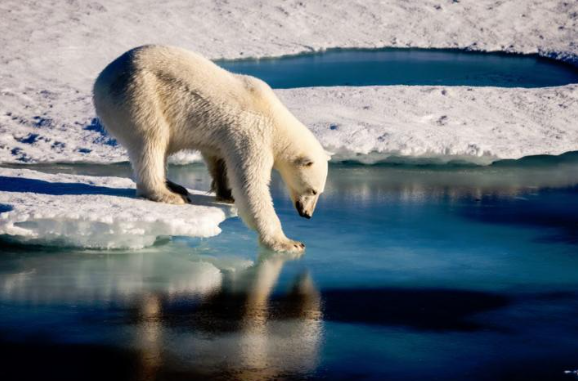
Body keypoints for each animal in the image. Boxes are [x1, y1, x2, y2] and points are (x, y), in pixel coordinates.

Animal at [94, 45, 328, 252]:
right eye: (313, 190)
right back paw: (168, 194)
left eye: (319, 192)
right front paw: (289, 242)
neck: (275, 119)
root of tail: (101, 80)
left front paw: (226, 192)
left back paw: (175, 186)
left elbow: (218, 158)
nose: (307, 214)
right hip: (140, 96)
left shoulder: (226, 137)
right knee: (151, 141)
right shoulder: (253, 135)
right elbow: (251, 186)